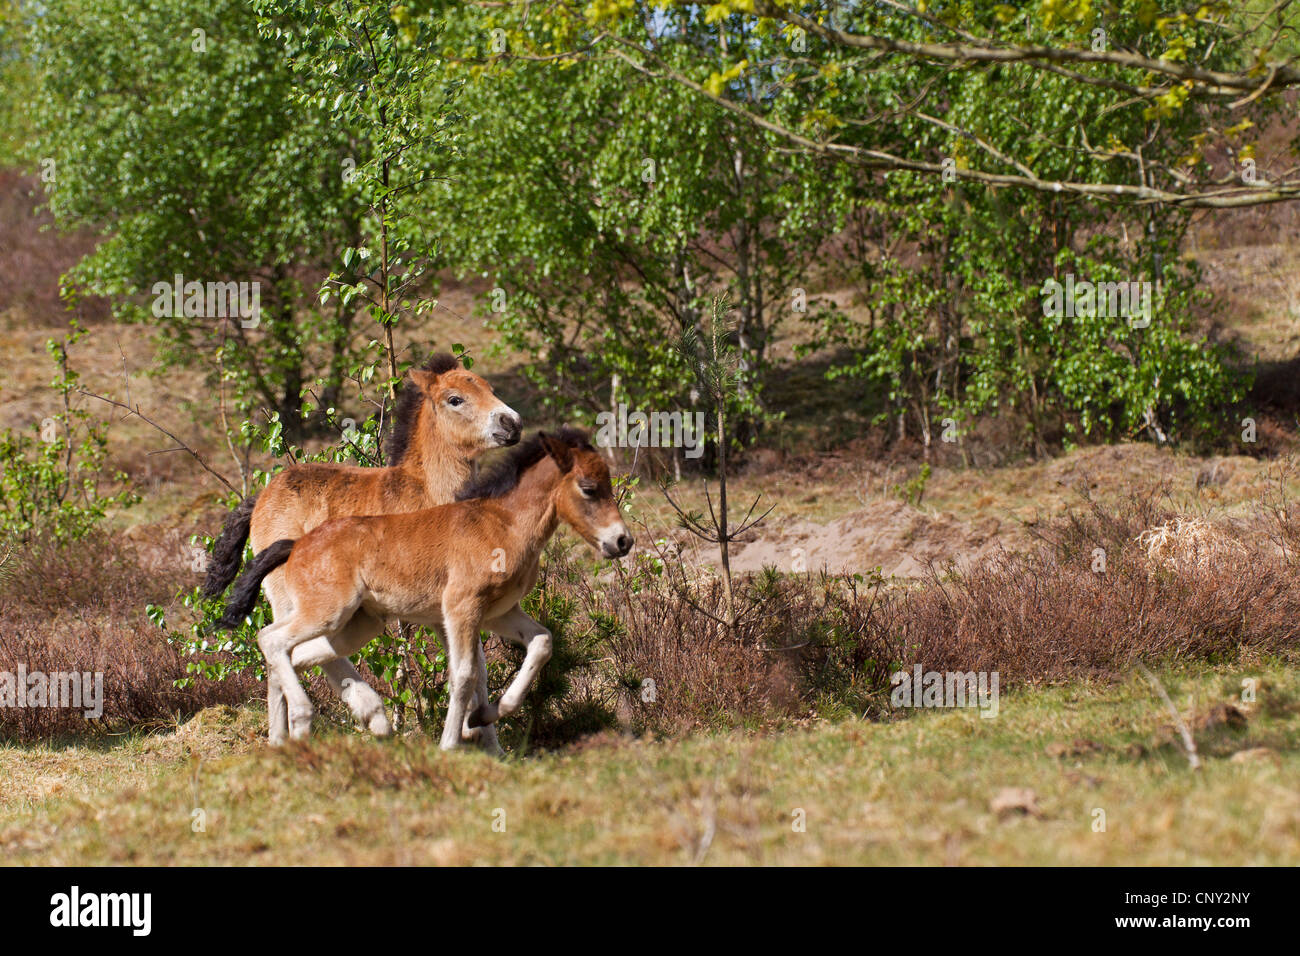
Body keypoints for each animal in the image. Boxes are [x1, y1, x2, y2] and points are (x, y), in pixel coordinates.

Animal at [200, 351, 520, 749]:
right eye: (455, 399)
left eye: (489, 387)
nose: (512, 423)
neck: (426, 492)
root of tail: (262, 497)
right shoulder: (443, 605)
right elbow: (469, 669)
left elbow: (479, 668)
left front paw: (491, 745)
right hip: (292, 595)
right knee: (282, 649)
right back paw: (349, 718)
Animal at [218, 429, 634, 749]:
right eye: (588, 488)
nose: (622, 541)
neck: (503, 525)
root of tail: (297, 544)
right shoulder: (461, 609)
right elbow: (464, 675)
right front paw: (451, 743)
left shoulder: (499, 613)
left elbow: (542, 643)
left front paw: (485, 717)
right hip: (327, 612)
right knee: (271, 639)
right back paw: (304, 720)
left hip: (359, 625)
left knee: (295, 654)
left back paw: (298, 735)